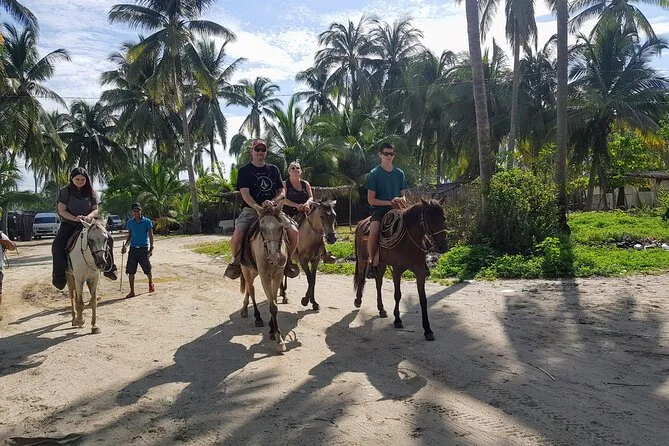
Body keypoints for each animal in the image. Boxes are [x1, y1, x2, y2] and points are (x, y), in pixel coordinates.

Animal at [239, 203, 290, 353]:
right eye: (261, 228)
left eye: (281, 227)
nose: (273, 257)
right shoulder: (265, 277)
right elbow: (272, 306)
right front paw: (279, 340)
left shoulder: (278, 275)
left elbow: (274, 302)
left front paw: (272, 330)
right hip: (246, 269)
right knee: (251, 289)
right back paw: (257, 317)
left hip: (254, 271)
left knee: (249, 288)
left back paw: (245, 309)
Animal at [353, 199, 448, 341]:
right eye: (429, 220)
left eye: (443, 218)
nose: (443, 247)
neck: (408, 242)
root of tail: (360, 223)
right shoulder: (397, 270)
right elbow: (397, 295)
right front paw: (397, 319)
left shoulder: (420, 271)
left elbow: (423, 299)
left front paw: (427, 330)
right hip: (363, 259)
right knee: (361, 277)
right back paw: (358, 301)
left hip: (381, 263)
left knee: (378, 283)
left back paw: (381, 309)